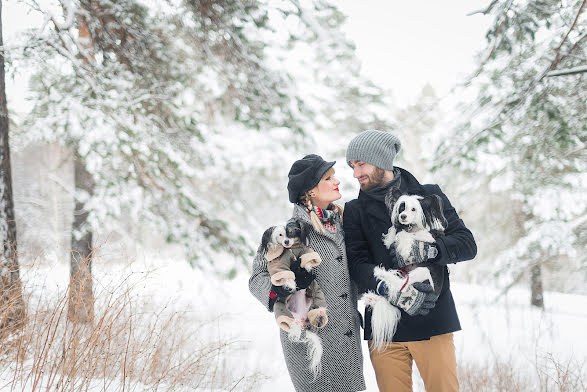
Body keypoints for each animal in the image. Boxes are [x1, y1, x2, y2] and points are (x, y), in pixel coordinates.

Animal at [260, 219, 328, 376]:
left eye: (290, 232)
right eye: (280, 234)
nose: (285, 242)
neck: (291, 249)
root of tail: (302, 319)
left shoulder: (305, 252)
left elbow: (307, 258)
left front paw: (306, 268)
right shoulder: (278, 264)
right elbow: (284, 273)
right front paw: (291, 283)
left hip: (315, 299)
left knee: (317, 309)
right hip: (282, 309)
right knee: (290, 322)